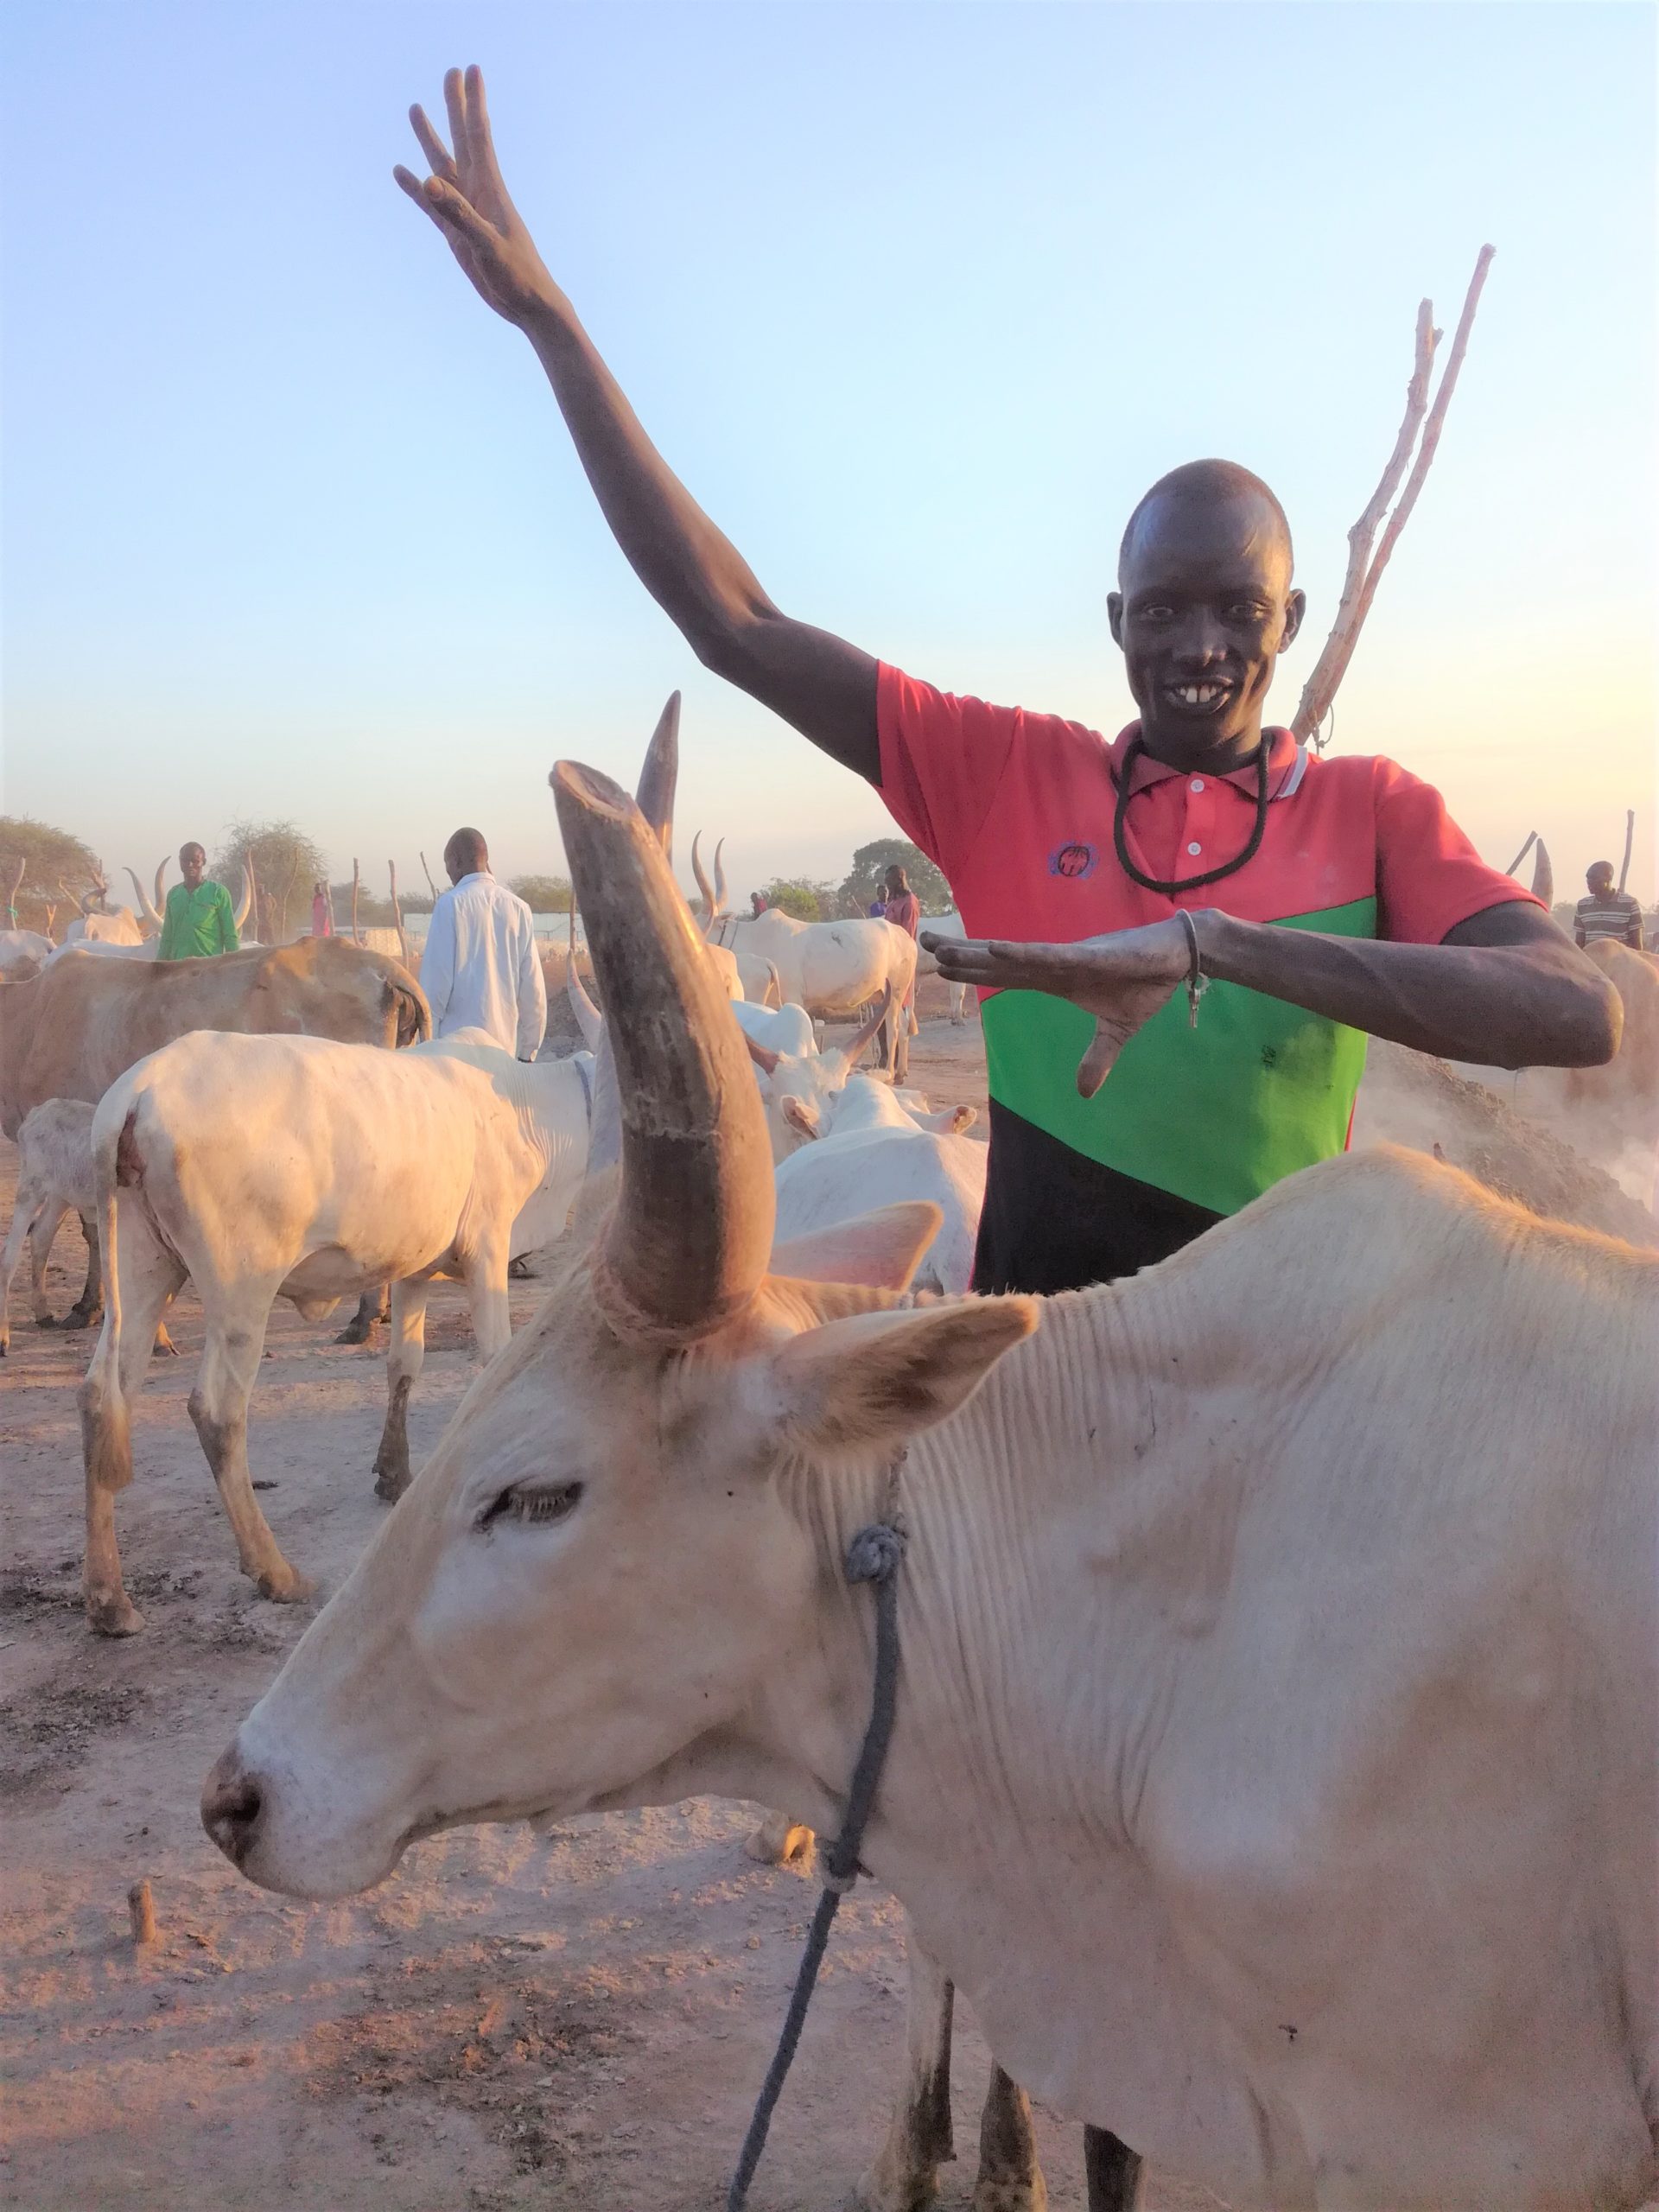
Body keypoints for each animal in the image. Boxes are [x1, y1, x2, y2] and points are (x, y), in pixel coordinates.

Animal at [83, 1026, 597, 1637]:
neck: (527, 1107)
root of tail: (140, 1089)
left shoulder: (414, 1270)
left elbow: (404, 1365)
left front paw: (394, 1475)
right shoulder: (488, 1247)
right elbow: (495, 1360)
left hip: (143, 1263)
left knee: (102, 1396)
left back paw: (109, 1600)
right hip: (242, 1288)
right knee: (217, 1411)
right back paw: (274, 1572)